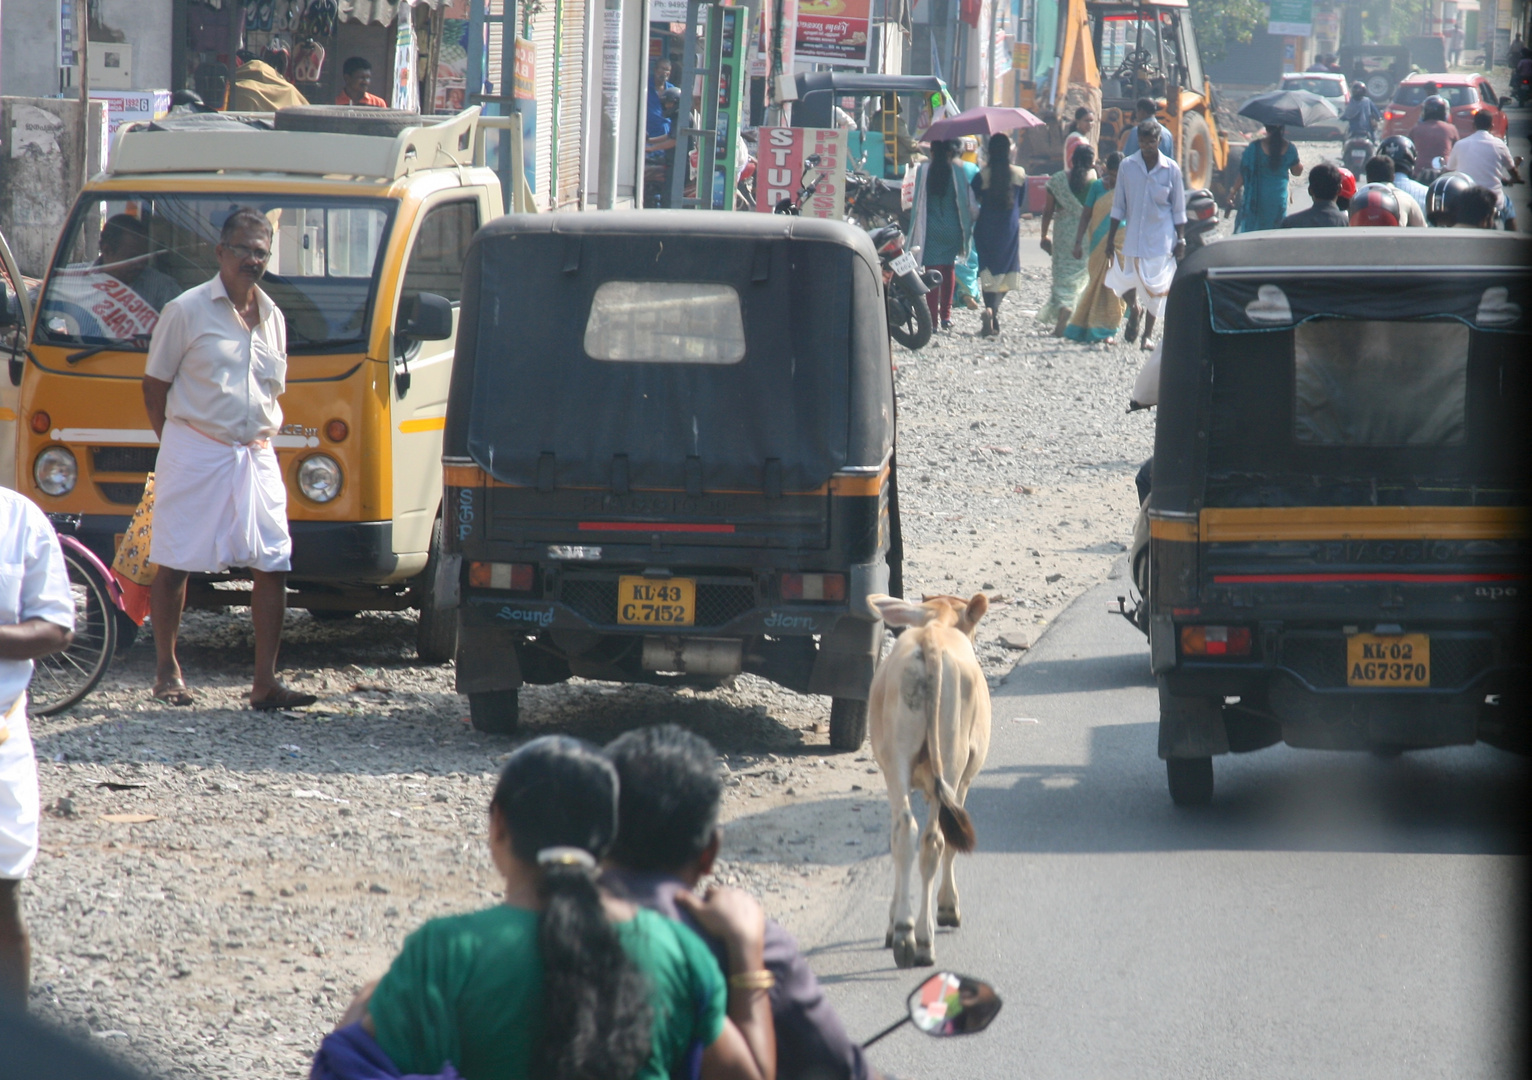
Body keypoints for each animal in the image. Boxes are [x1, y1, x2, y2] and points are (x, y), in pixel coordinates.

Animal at [870, 594, 986, 962]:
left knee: (904, 833)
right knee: (935, 840)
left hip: (896, 759)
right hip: (951, 760)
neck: (938, 620)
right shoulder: (964, 781)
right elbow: (950, 843)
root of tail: (931, 640)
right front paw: (949, 906)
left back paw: (904, 931)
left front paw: (893, 922)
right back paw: (922, 938)